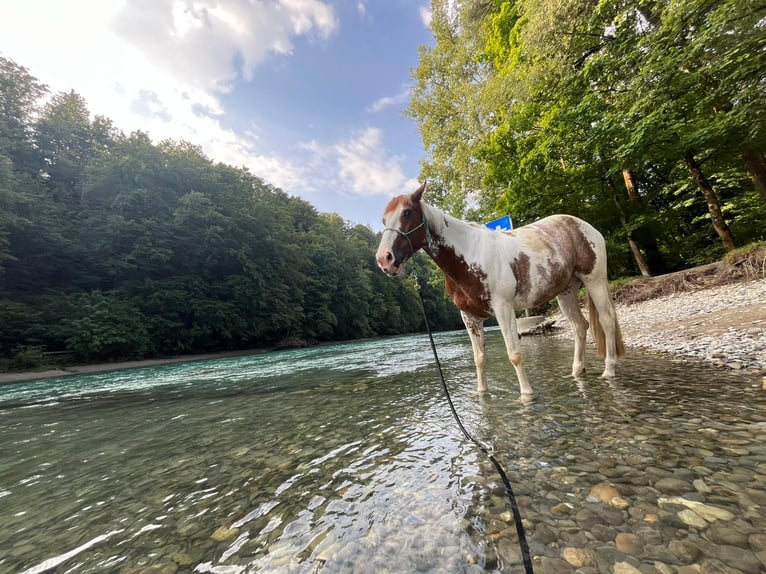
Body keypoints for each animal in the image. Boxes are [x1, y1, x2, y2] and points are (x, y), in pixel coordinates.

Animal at [375, 183, 624, 396]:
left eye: (407, 213)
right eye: (384, 219)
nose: (384, 259)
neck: (468, 255)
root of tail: (585, 226)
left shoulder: (503, 308)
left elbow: (514, 354)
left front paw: (527, 394)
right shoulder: (469, 317)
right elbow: (479, 358)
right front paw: (483, 394)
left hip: (595, 280)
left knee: (606, 320)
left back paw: (609, 370)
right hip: (566, 292)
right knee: (580, 327)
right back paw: (576, 372)